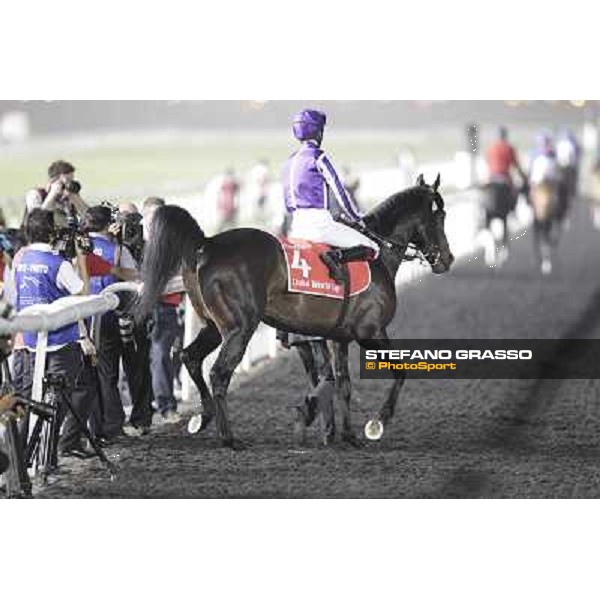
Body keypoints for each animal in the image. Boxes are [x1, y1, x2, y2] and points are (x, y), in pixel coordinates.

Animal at [137, 173, 454, 446]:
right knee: (219, 373)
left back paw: (203, 417)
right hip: (240, 328)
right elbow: (400, 371)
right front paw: (377, 422)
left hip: (213, 327)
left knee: (190, 357)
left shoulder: (338, 337)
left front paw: (346, 434)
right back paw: (229, 438)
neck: (377, 254)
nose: (447, 259)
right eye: (440, 216)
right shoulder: (371, 332)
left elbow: (342, 383)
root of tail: (207, 242)